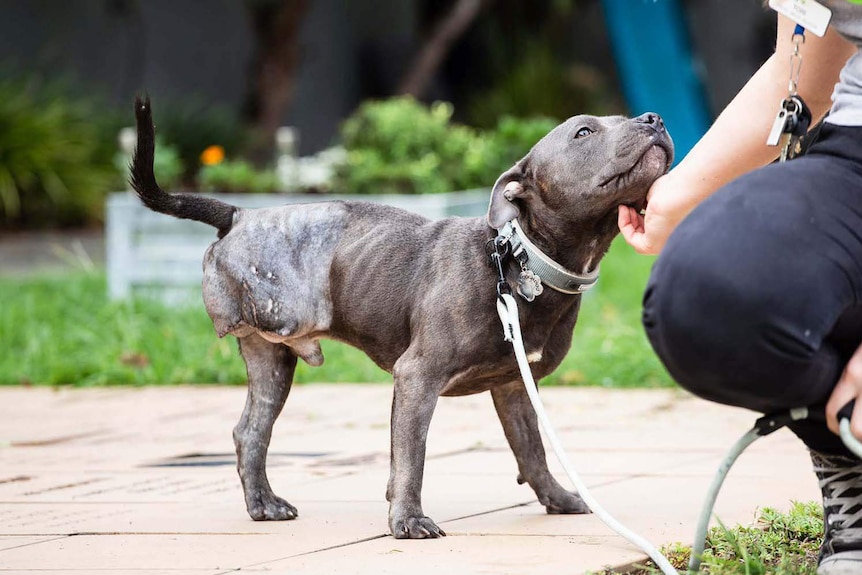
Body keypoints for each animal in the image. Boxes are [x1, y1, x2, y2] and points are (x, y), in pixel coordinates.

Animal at [132, 95, 676, 540]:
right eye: (583, 132)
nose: (654, 117)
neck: (521, 256)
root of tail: (239, 215)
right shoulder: (417, 377)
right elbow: (411, 457)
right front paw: (408, 521)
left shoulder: (514, 386)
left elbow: (532, 450)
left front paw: (557, 499)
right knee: (254, 433)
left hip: (271, 362)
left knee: (250, 433)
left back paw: (263, 505)